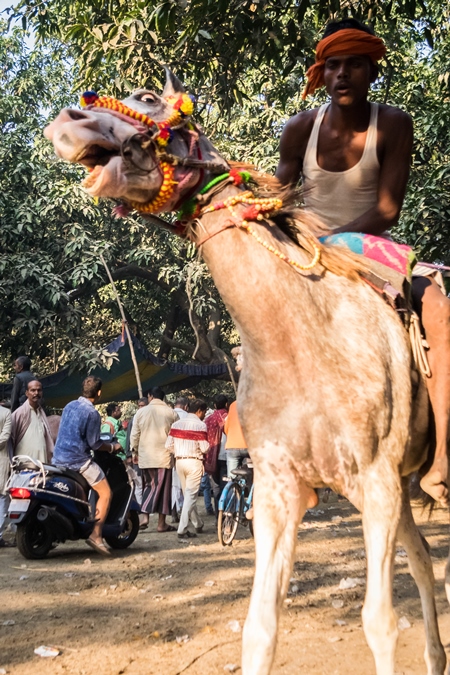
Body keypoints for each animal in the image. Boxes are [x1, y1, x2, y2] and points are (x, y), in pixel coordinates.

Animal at [44, 71, 446, 672]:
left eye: (147, 98)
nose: (68, 123)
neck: (303, 342)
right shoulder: (279, 488)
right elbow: (260, 626)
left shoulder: (375, 480)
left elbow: (379, 622)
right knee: (421, 559)